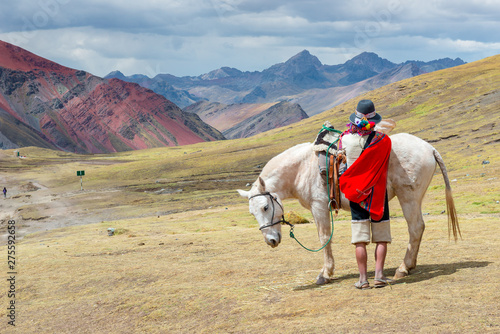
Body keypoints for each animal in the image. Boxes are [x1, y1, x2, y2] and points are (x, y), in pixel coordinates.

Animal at [238, 133, 460, 284]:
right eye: (252, 213)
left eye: (265, 207)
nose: (271, 241)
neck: (302, 169)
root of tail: (429, 148)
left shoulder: (319, 207)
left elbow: (324, 237)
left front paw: (325, 274)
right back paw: (409, 265)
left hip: (409, 197)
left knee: (415, 228)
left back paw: (403, 268)